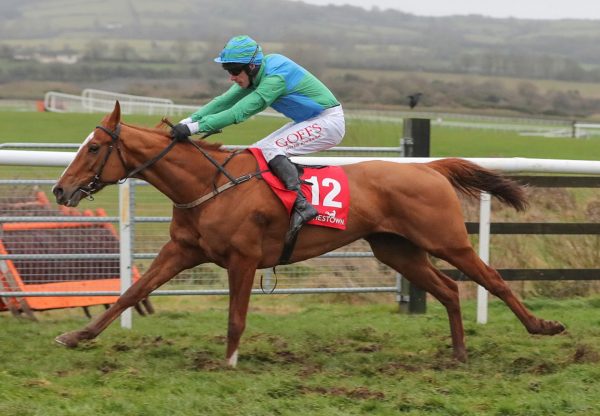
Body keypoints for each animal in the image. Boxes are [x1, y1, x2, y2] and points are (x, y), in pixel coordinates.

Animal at [54, 102, 564, 366]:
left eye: (94, 148)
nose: (61, 189)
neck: (209, 184)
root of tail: (431, 168)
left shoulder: (243, 259)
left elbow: (236, 317)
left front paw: (229, 362)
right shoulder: (182, 251)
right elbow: (130, 292)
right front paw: (77, 336)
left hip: (447, 240)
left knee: (491, 280)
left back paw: (543, 326)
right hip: (397, 250)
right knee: (449, 289)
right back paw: (457, 353)